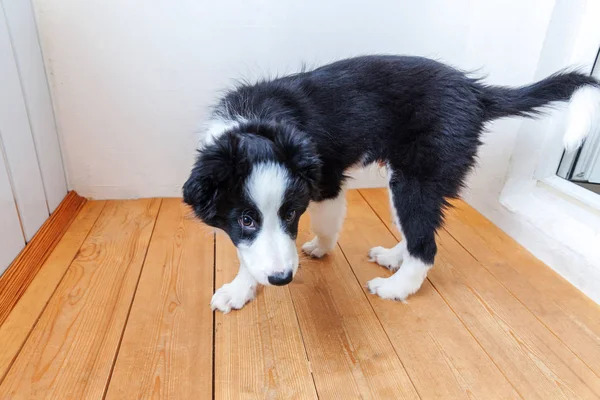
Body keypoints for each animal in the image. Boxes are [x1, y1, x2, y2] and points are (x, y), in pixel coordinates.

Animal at [184, 54, 600, 314]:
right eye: (246, 219)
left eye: (291, 214)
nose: (282, 280)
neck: (257, 125)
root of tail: (475, 92)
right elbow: (247, 252)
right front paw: (240, 289)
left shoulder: (327, 180)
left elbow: (324, 223)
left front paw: (320, 246)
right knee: (420, 230)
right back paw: (394, 258)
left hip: (415, 179)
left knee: (426, 246)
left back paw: (397, 288)